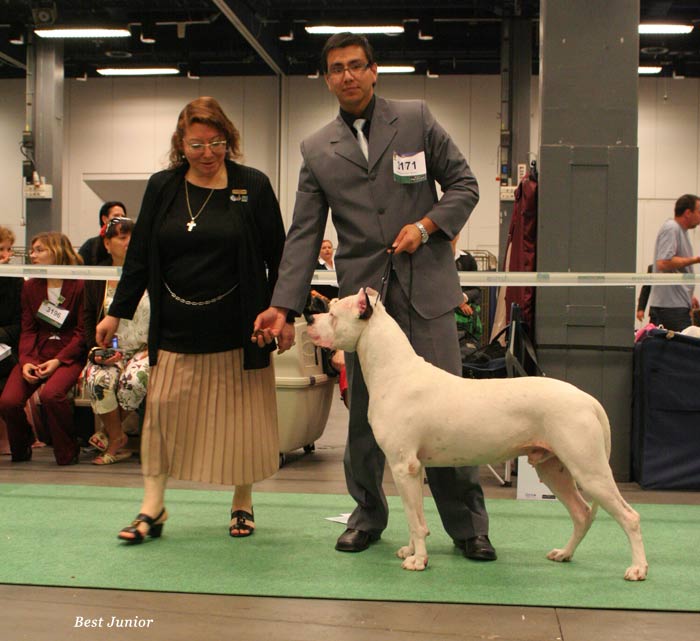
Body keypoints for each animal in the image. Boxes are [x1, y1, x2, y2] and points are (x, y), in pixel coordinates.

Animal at [308, 290, 648, 580]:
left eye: (333, 313)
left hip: (589, 469)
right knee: (581, 514)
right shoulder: (414, 470)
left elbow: (415, 519)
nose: (310, 318)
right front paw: (411, 550)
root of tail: (587, 399)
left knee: (629, 516)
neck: (395, 372)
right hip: (554, 469)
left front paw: (418, 560)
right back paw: (564, 554)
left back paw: (638, 569)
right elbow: (414, 514)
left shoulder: (404, 467)